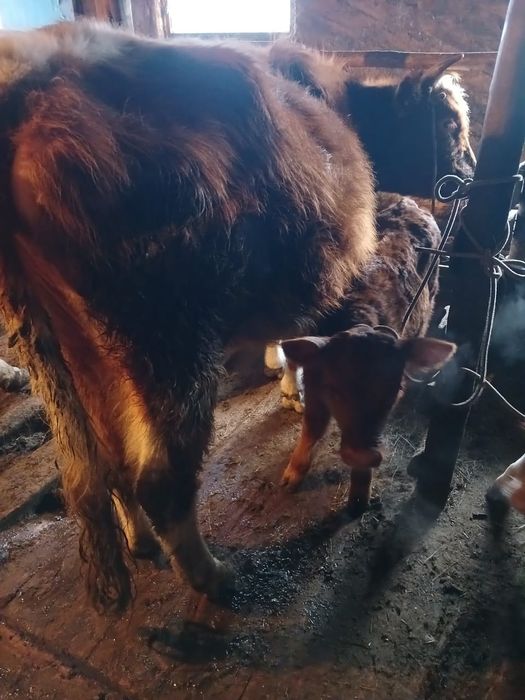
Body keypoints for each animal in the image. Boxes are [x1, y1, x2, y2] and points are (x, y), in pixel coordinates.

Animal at [0, 21, 376, 610]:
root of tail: (35, 79)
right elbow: (296, 339)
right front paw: (291, 387)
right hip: (168, 334)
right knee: (160, 477)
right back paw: (213, 577)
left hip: (71, 345)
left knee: (107, 463)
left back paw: (141, 543)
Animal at [276, 195, 456, 514]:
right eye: (334, 391)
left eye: (395, 391)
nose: (361, 454)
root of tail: (410, 203)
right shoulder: (315, 376)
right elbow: (312, 426)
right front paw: (290, 479)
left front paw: (359, 499)